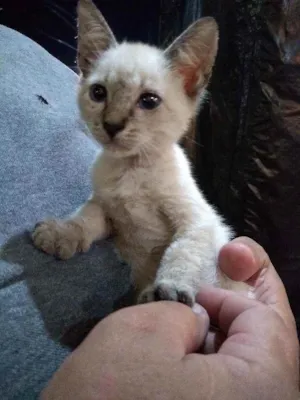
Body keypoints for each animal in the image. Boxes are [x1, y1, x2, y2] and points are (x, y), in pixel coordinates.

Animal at [31, 0, 245, 304]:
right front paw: (60, 233)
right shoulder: (107, 210)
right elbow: (85, 217)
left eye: (149, 101)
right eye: (98, 93)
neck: (131, 169)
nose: (111, 125)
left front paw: (168, 292)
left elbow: (182, 252)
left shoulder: (201, 222)